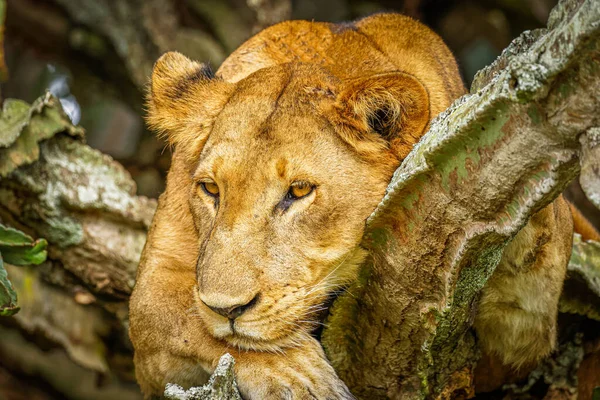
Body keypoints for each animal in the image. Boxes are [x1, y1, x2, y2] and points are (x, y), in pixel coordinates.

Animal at [129, 13, 588, 400]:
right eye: (210, 189)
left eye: (298, 191)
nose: (228, 309)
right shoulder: (152, 292)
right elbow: (189, 321)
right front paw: (297, 377)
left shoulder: (524, 335)